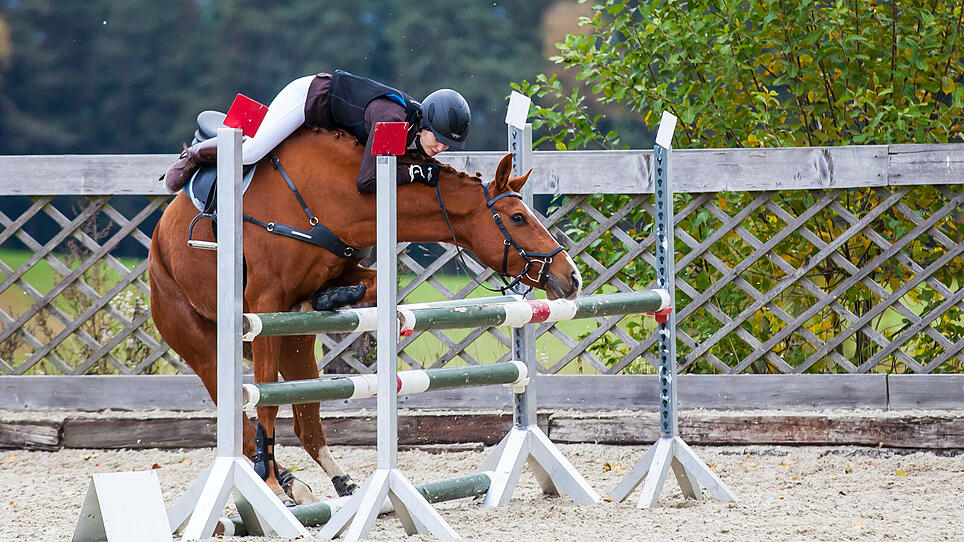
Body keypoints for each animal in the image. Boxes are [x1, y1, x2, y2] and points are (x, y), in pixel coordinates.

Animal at [148, 127, 584, 506]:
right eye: (517, 218)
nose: (572, 277)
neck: (332, 194)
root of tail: (158, 240)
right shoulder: (264, 303)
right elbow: (265, 405)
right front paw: (269, 484)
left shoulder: (338, 274)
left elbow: (369, 286)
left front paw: (332, 297)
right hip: (203, 346)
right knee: (244, 416)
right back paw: (279, 483)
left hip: (297, 343)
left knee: (308, 421)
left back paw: (322, 484)